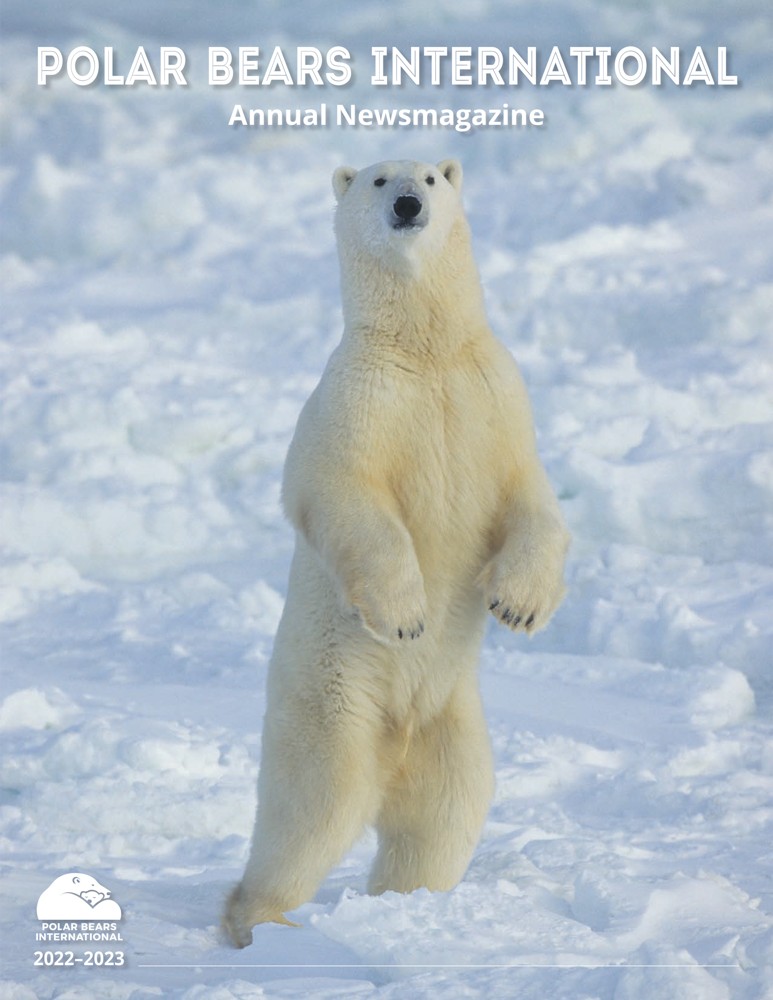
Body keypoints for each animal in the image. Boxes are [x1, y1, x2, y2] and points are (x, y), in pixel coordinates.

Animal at [223, 158, 569, 948]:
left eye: (431, 178)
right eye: (379, 179)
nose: (409, 204)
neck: (425, 349)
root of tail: (398, 744)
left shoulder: (495, 398)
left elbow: (531, 499)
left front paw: (517, 604)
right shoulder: (357, 402)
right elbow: (344, 492)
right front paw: (408, 615)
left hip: (451, 720)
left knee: (444, 817)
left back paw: (407, 904)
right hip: (335, 702)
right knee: (314, 811)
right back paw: (263, 921)